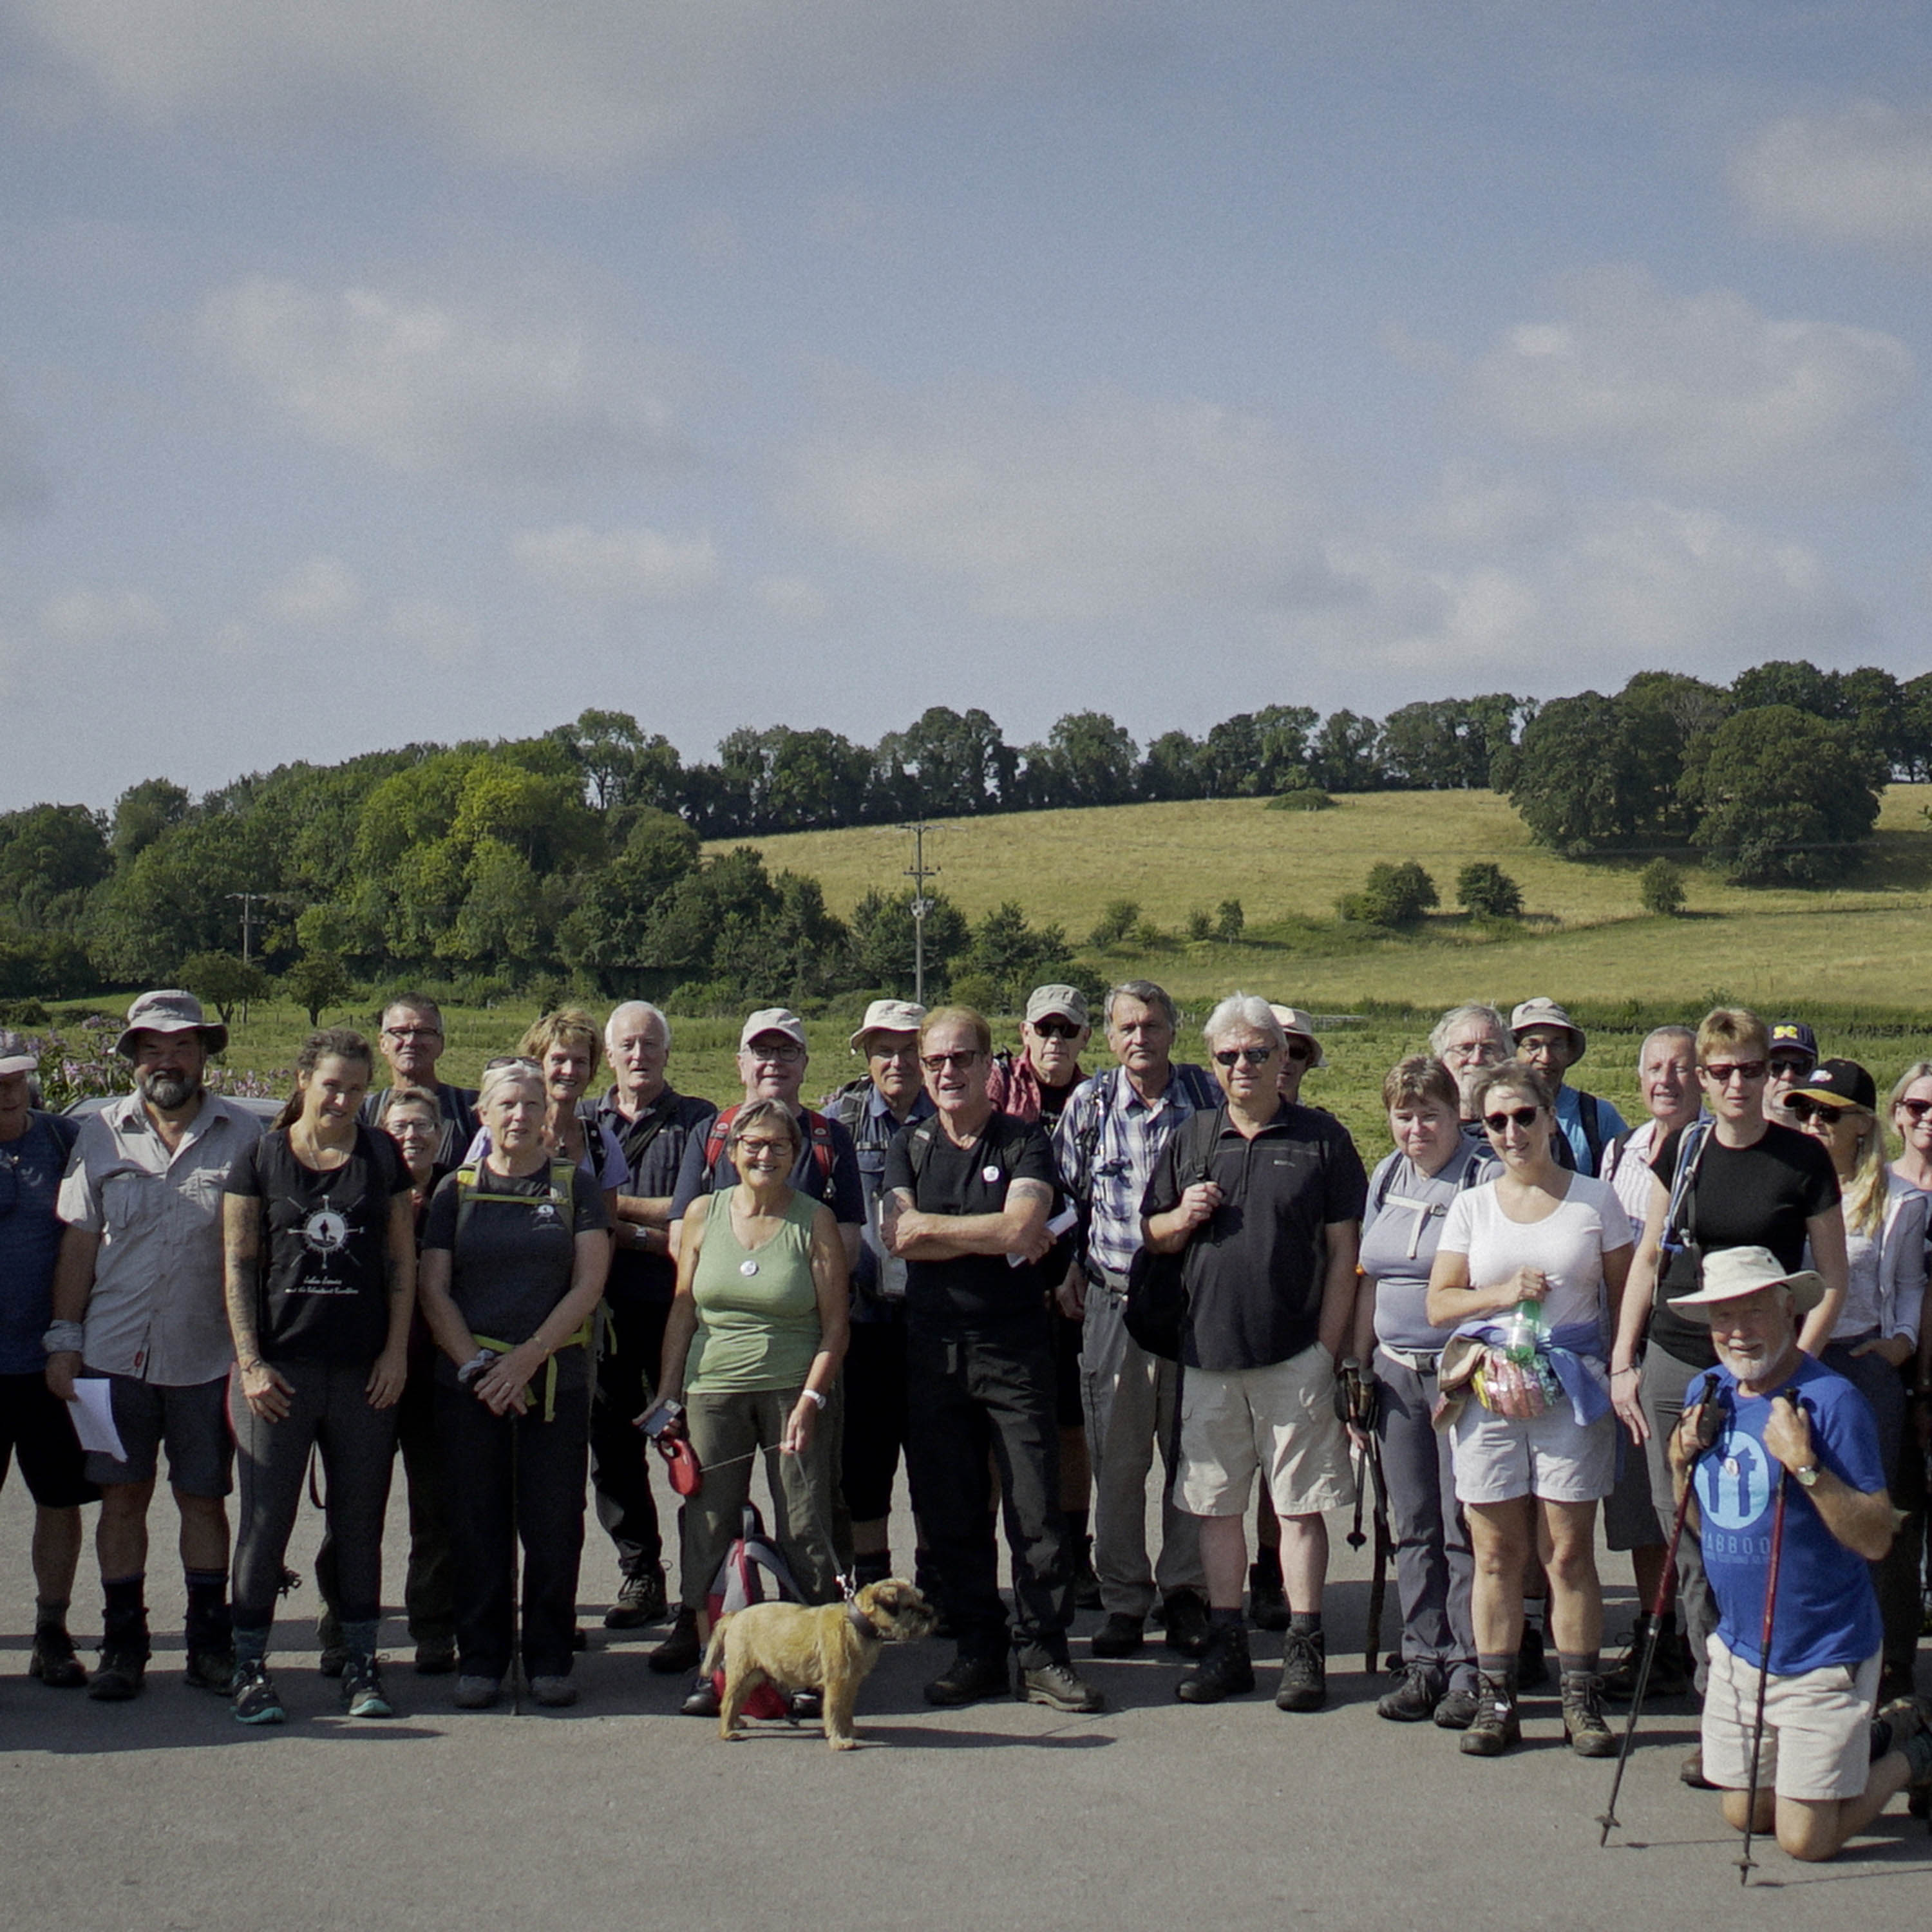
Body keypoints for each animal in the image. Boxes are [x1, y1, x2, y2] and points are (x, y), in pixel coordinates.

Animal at [703, 1584, 935, 1754]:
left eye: (920, 1600)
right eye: (909, 1607)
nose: (932, 1614)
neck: (855, 1622)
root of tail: (734, 1616)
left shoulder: (851, 1685)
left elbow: (846, 1712)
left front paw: (849, 1731)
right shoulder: (835, 1685)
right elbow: (833, 1712)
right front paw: (838, 1740)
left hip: (753, 1677)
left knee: (736, 1701)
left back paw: (734, 1723)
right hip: (741, 1674)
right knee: (728, 1702)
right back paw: (727, 1732)